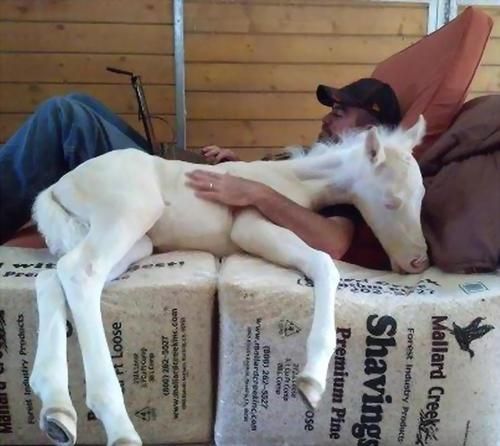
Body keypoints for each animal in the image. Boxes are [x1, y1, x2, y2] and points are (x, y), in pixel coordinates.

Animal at [28, 116, 426, 446]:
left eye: (421, 196)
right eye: (392, 201)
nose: (418, 262)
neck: (291, 180)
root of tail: (59, 185)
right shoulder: (250, 227)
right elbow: (325, 263)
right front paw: (313, 378)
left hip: (135, 241)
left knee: (53, 275)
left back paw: (56, 407)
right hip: (129, 214)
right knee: (80, 271)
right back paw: (116, 422)